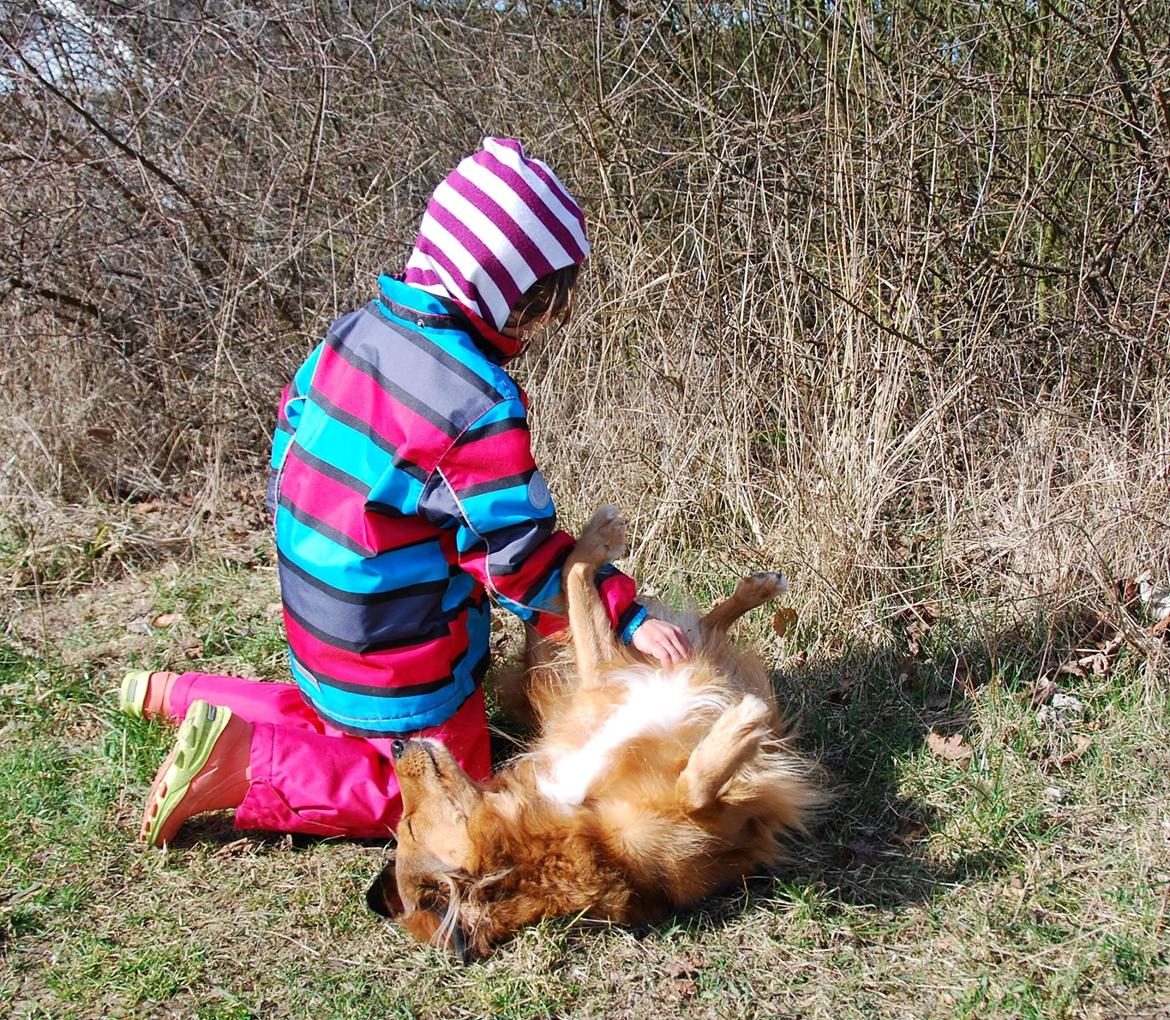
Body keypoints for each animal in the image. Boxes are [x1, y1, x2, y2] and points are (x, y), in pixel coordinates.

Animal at [365, 505, 823, 959]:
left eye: (406, 825)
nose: (397, 743)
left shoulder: (600, 678)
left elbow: (573, 577)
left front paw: (593, 542)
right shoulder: (719, 828)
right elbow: (695, 786)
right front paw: (741, 726)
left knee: (695, 631)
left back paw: (756, 589)